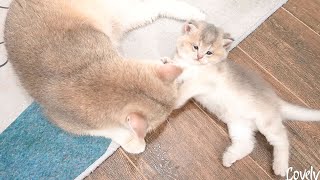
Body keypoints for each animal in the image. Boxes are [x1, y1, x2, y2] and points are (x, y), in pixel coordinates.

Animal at [4, 0, 205, 154]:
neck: (89, 77)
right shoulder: (68, 123)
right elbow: (110, 130)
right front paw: (134, 143)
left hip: (118, 15)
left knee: (157, 5)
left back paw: (195, 14)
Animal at [164, 20, 320, 176]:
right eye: (195, 47)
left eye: (209, 52)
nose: (199, 57)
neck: (193, 65)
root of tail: (275, 99)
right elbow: (175, 67)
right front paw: (166, 61)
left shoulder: (199, 81)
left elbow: (184, 89)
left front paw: (174, 100)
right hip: (238, 125)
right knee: (248, 144)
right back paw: (228, 158)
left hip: (266, 123)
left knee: (282, 138)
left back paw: (280, 167)